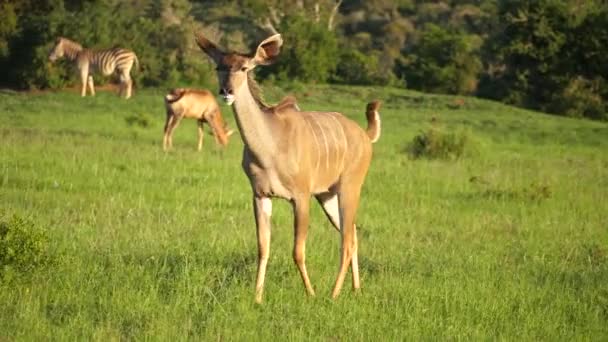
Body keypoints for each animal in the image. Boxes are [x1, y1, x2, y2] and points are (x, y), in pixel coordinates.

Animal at [197, 32, 380, 302]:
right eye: (219, 66)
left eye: (244, 67)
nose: (226, 91)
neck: (270, 148)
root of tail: (366, 137)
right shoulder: (260, 195)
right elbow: (263, 248)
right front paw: (257, 298)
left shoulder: (300, 197)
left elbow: (297, 251)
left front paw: (311, 294)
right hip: (327, 195)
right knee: (352, 233)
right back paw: (356, 289)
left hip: (350, 187)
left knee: (347, 239)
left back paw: (334, 294)